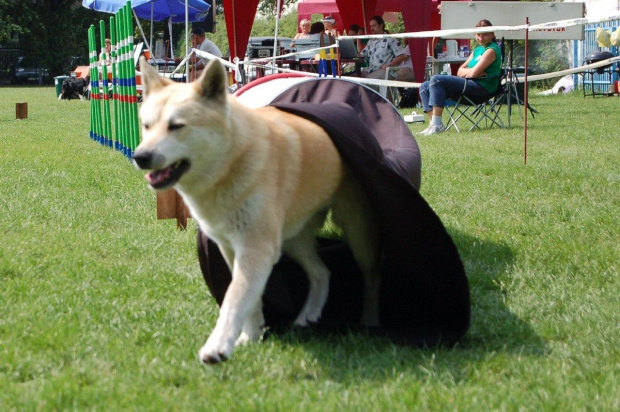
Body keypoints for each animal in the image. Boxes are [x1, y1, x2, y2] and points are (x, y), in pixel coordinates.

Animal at [133, 58, 380, 364]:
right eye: (146, 126)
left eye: (176, 126)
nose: (140, 157)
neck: (231, 162)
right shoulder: (232, 248)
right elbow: (249, 300)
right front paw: (250, 336)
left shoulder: (255, 248)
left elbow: (234, 298)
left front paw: (218, 346)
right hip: (294, 240)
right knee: (321, 272)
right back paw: (308, 316)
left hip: (358, 235)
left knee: (371, 277)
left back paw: (370, 322)